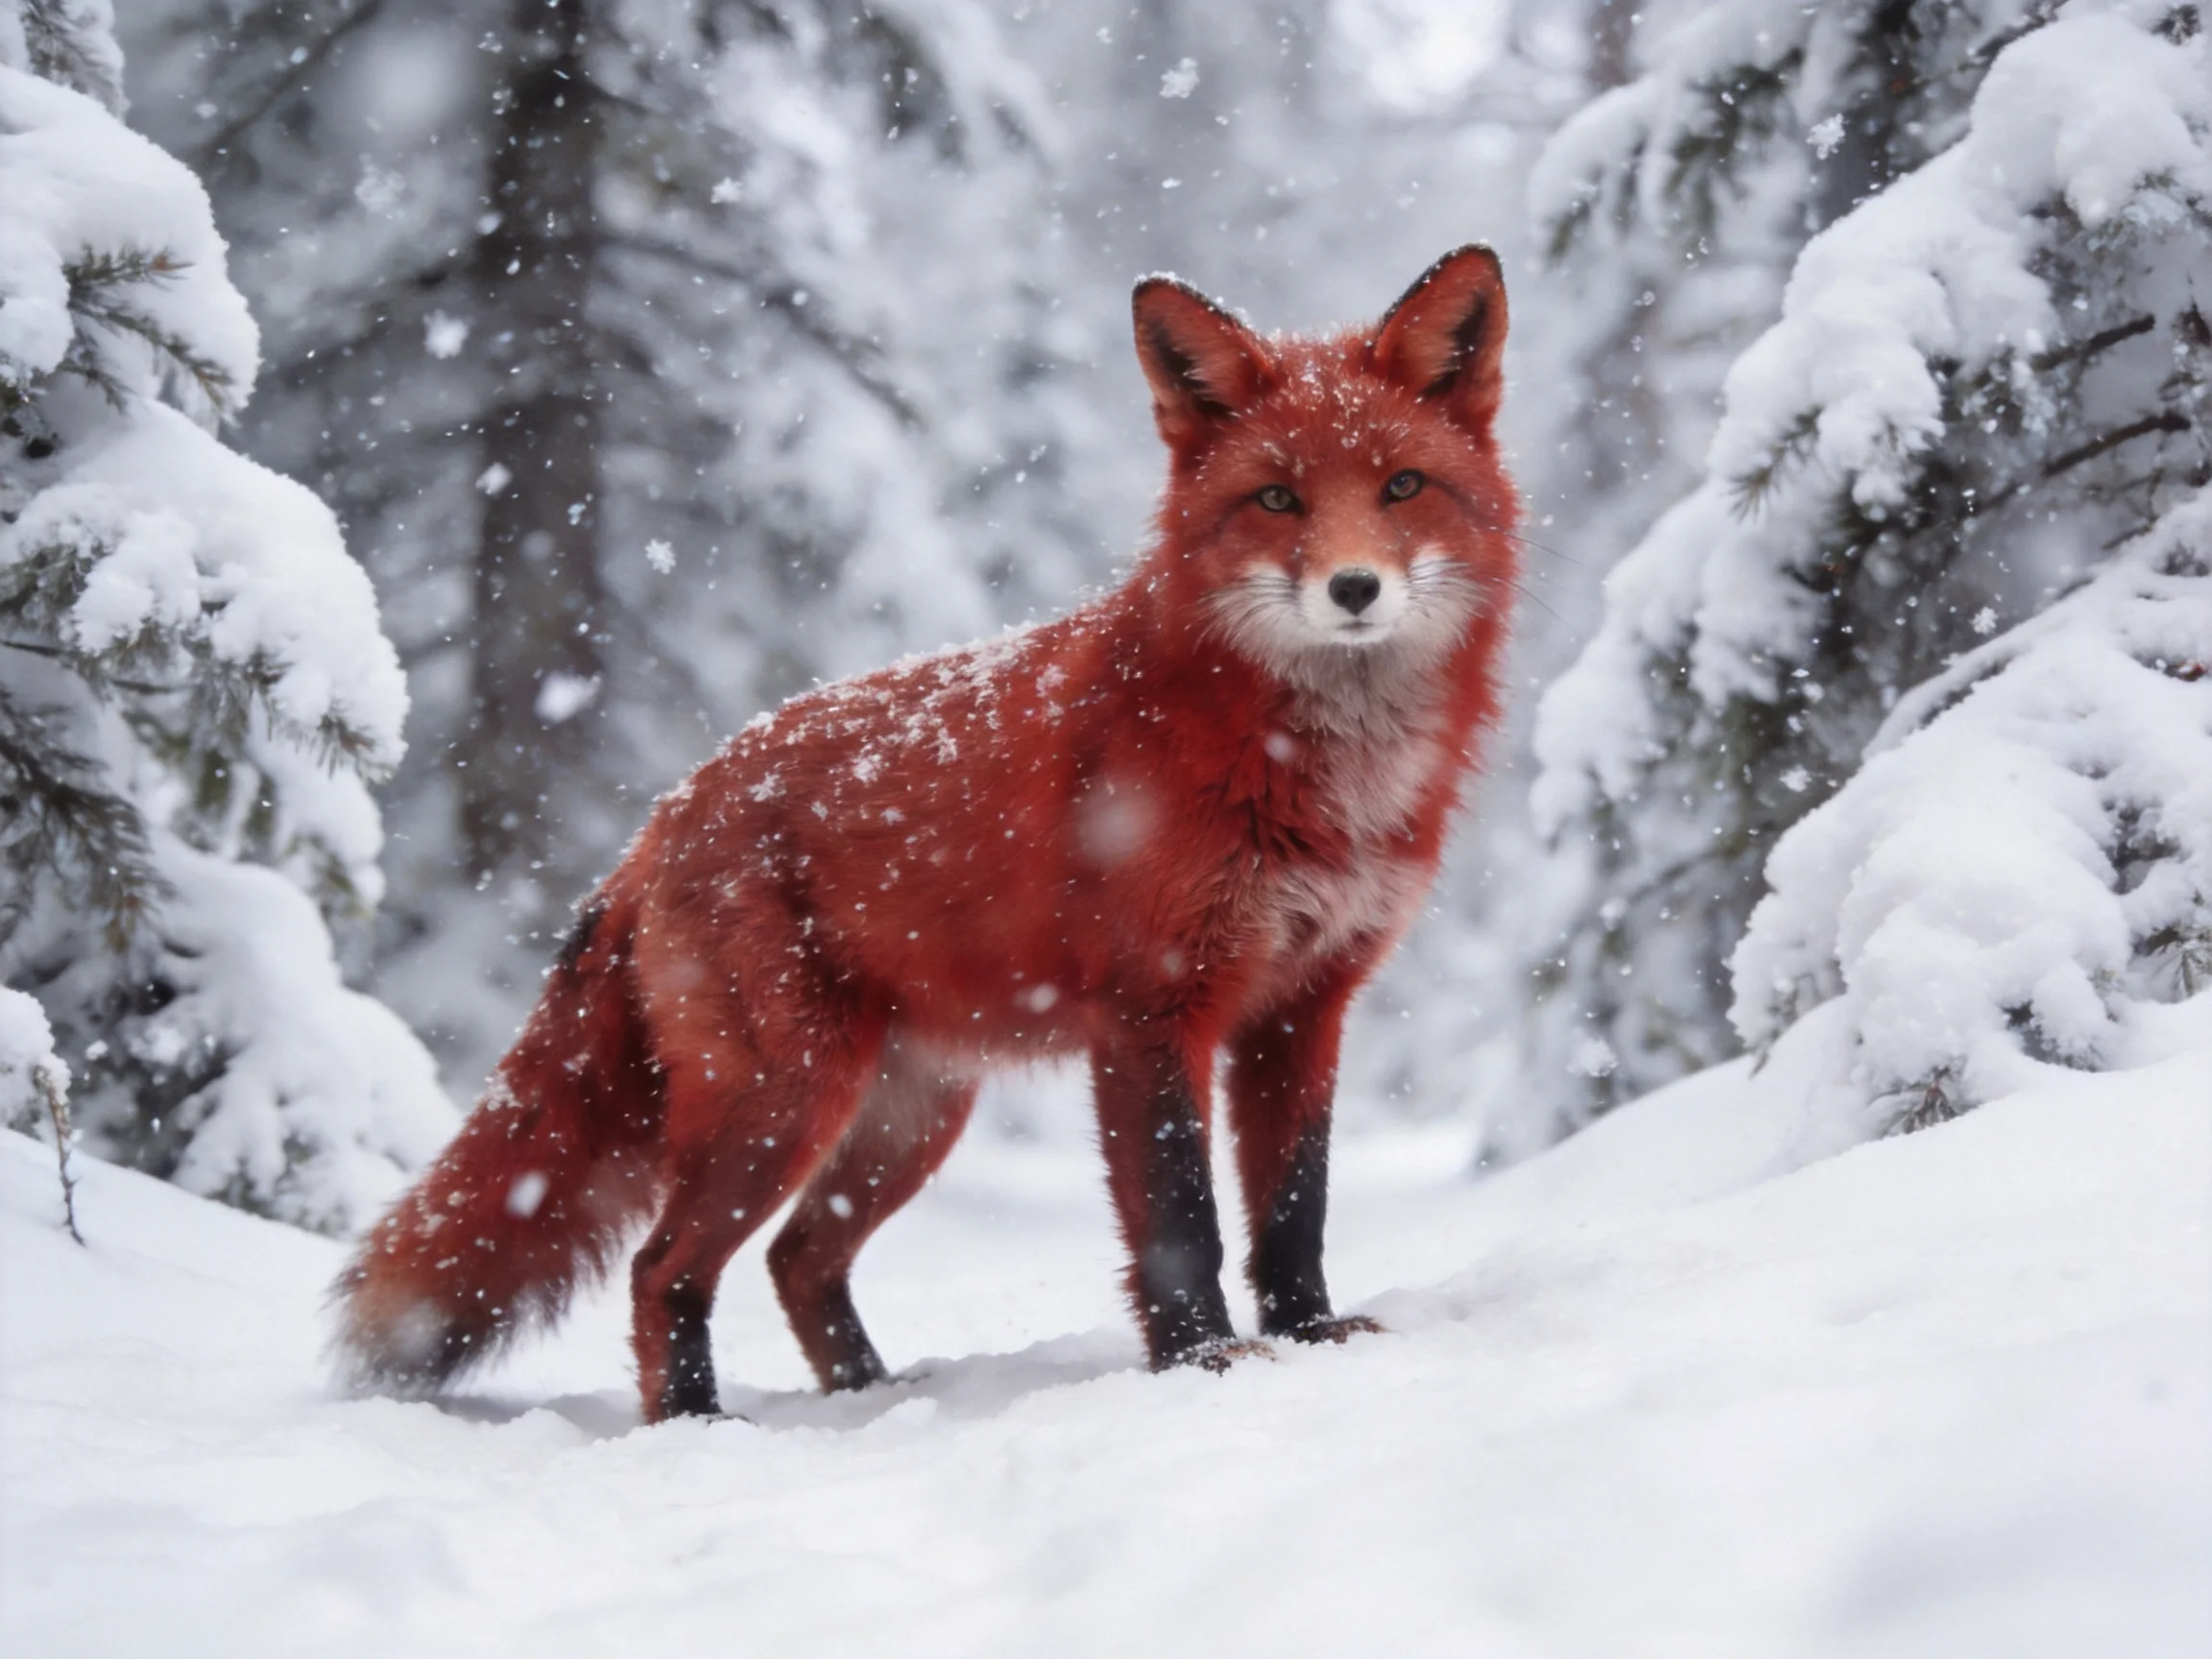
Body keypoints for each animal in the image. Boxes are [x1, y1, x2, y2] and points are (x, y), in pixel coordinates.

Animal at [333, 245, 1518, 1423]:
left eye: (1402, 487)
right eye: (1276, 498)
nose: (1354, 588)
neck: (1308, 769)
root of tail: (666, 811)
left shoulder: (1303, 1007)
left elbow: (1293, 1208)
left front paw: (1311, 1335)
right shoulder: (1152, 1009)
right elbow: (1181, 1218)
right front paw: (1202, 1361)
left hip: (906, 1123)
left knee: (797, 1259)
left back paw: (870, 1393)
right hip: (782, 1101)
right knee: (663, 1266)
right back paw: (698, 1423)